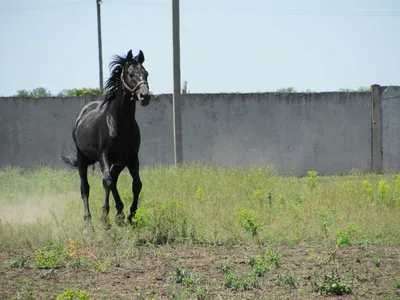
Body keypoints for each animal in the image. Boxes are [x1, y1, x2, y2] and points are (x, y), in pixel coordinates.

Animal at [60, 49, 152, 230]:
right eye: (131, 74)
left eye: (146, 73)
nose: (145, 96)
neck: (119, 123)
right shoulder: (104, 156)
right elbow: (107, 182)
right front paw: (105, 218)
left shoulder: (132, 158)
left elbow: (136, 184)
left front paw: (130, 216)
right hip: (83, 159)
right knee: (86, 187)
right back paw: (89, 223)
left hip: (118, 163)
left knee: (113, 181)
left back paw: (119, 214)